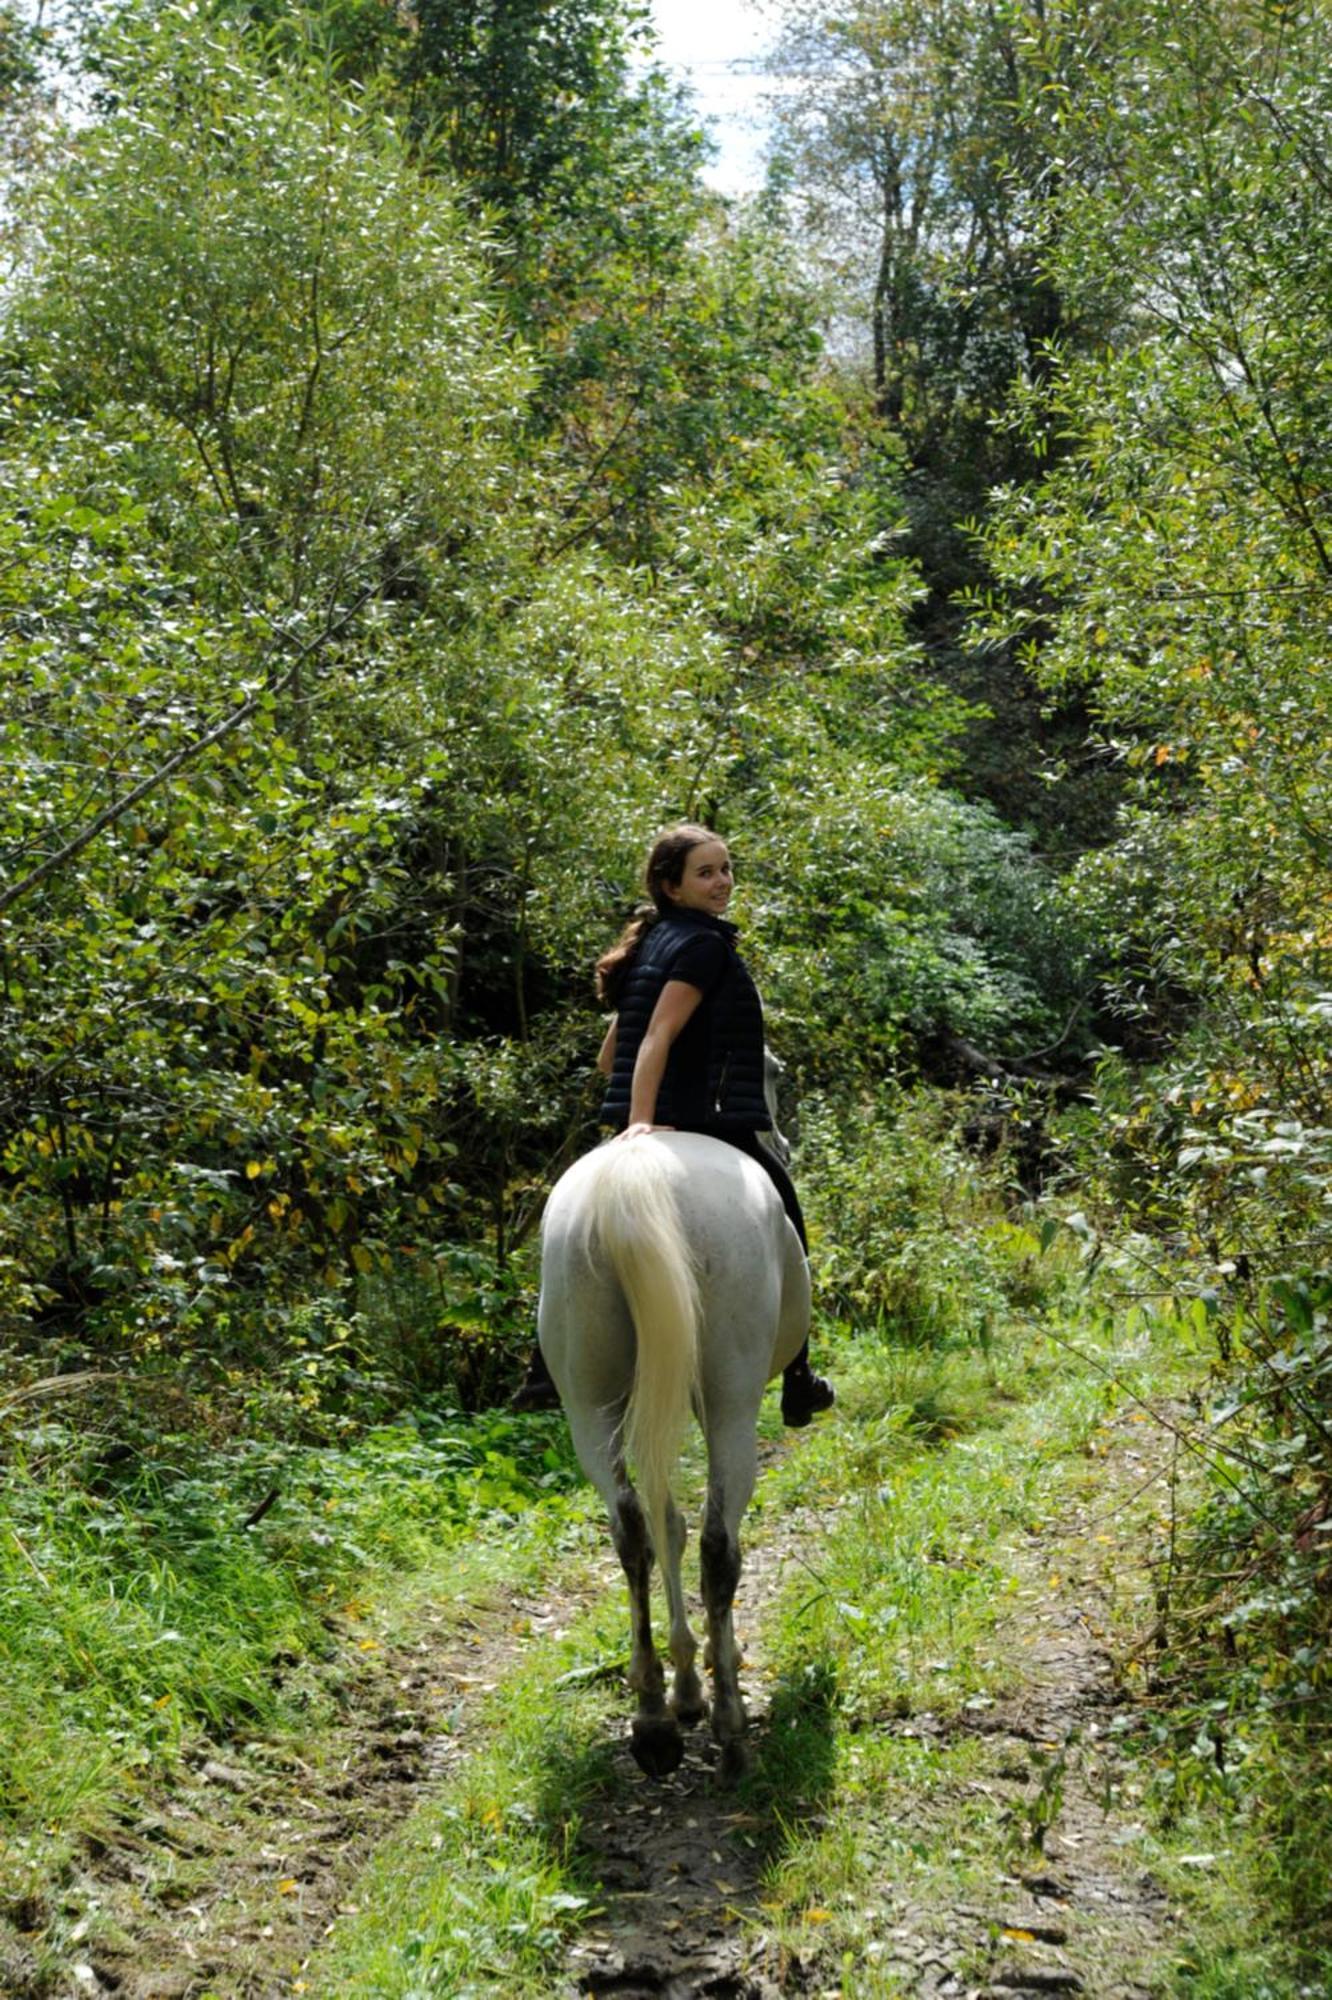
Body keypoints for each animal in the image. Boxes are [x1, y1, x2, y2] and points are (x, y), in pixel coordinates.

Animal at [536, 1136, 804, 1776]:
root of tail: (633, 1179)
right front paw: (704, 1673)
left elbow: (667, 1530)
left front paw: (683, 1686)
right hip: (732, 1403)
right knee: (718, 1545)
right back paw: (730, 1724)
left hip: (588, 1406)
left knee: (633, 1531)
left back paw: (653, 1718)